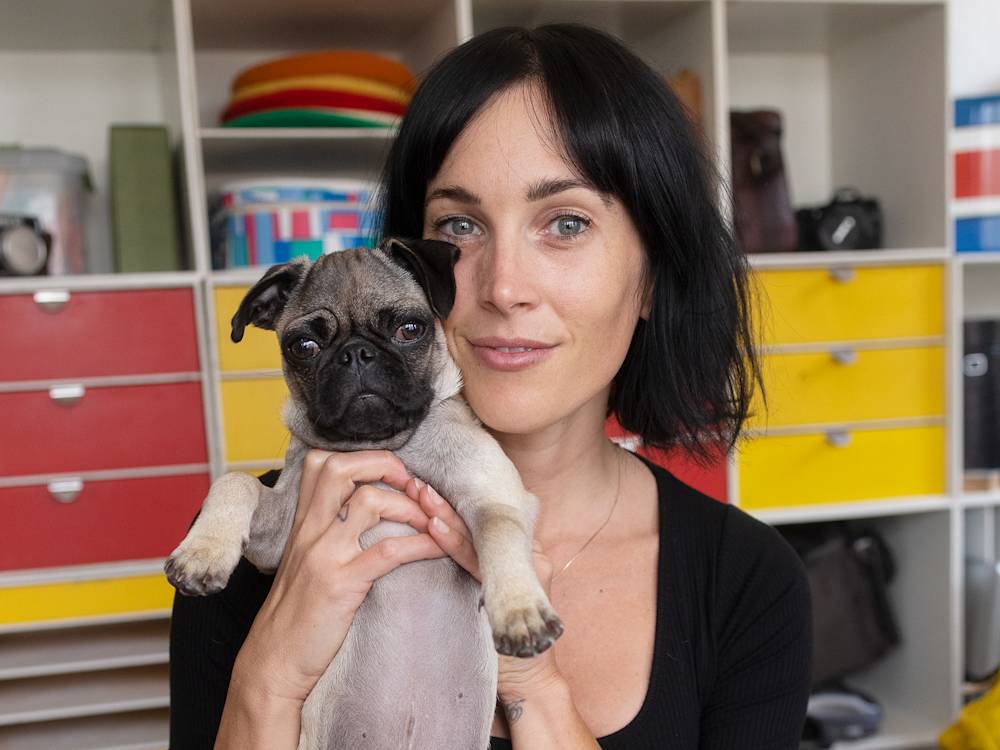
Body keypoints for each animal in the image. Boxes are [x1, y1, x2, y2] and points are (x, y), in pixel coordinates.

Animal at [165, 237, 564, 749]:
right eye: (304, 346)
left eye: (410, 329)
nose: (356, 354)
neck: (381, 445)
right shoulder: (275, 540)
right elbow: (234, 481)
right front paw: (201, 553)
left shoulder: (494, 493)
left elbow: (497, 532)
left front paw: (519, 610)